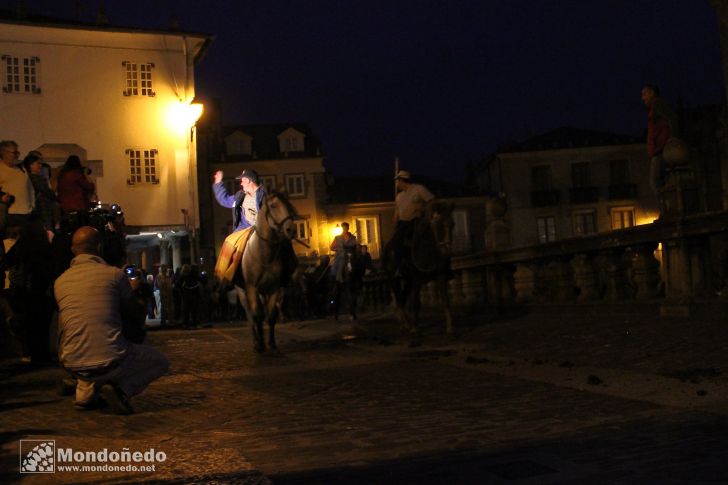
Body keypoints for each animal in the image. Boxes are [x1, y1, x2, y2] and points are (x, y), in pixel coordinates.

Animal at [237, 189, 298, 352]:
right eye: (273, 206)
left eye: (288, 204)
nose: (291, 229)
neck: (264, 254)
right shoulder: (251, 288)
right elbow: (256, 316)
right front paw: (260, 344)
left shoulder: (274, 289)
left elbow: (270, 317)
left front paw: (271, 343)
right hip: (243, 293)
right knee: (250, 316)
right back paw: (256, 340)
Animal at [384, 202, 452, 346]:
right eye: (440, 225)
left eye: (452, 224)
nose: (446, 252)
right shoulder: (416, 279)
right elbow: (415, 304)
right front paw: (415, 330)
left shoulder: (440, 275)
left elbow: (445, 300)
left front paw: (450, 328)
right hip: (394, 279)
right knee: (399, 299)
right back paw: (406, 324)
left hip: (407, 281)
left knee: (402, 298)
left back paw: (406, 323)